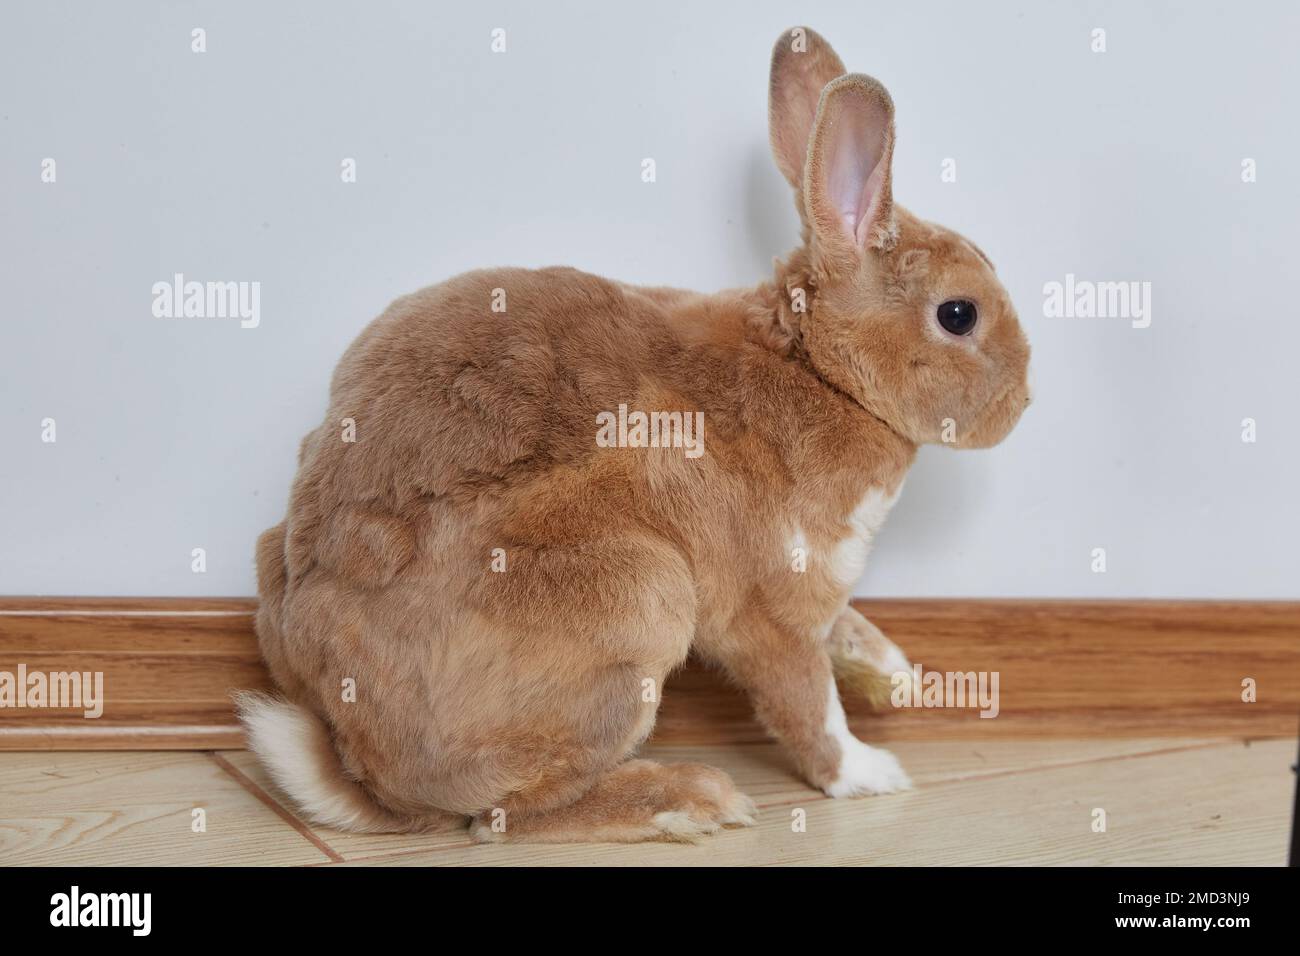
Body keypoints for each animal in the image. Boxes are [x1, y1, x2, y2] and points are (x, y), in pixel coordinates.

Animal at [239, 24, 1034, 842]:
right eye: (959, 315)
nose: (1024, 400)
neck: (818, 369)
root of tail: (363, 762)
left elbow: (847, 628)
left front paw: (896, 675)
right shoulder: (771, 611)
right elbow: (806, 702)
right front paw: (869, 774)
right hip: (640, 600)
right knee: (503, 816)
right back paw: (687, 799)